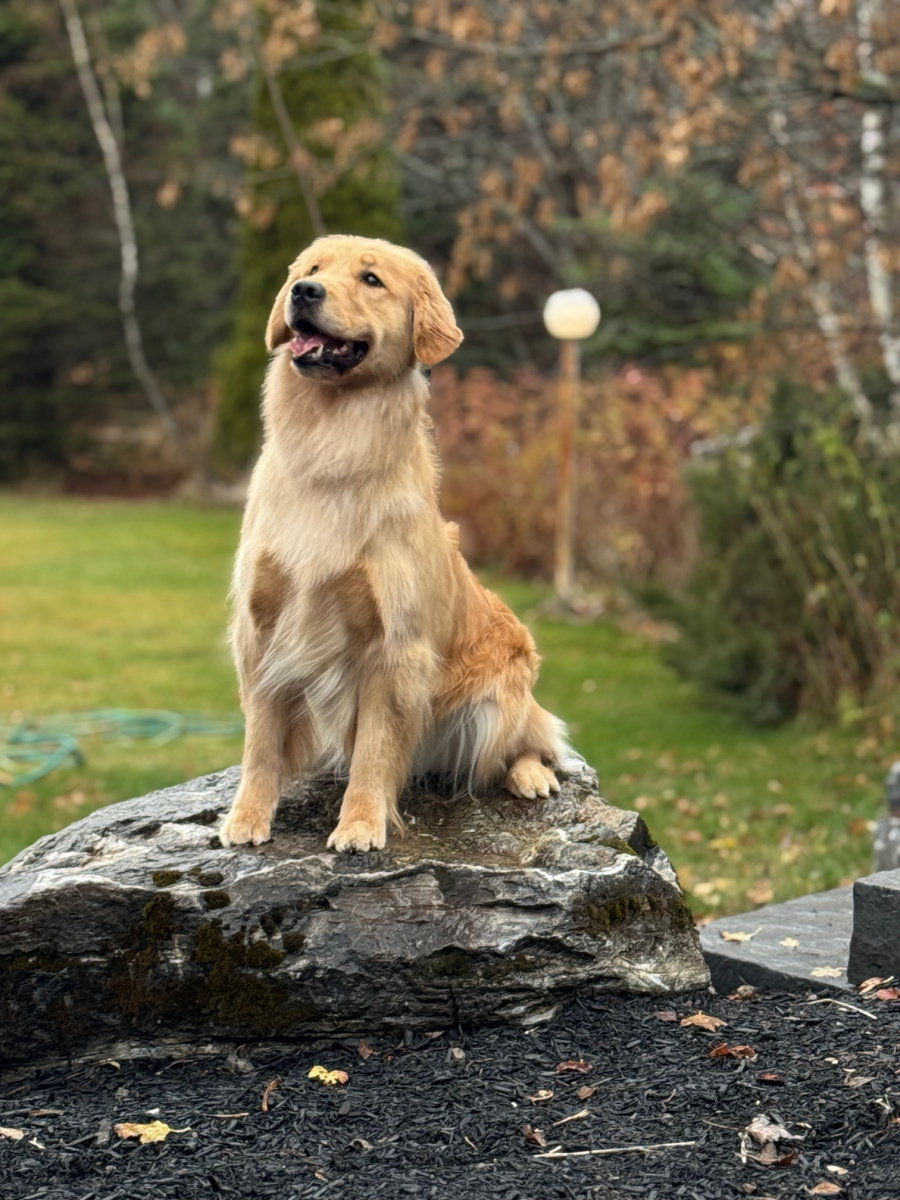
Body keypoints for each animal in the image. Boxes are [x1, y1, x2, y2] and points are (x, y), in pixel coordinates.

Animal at [219, 235, 567, 853]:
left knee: (528, 738)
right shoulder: (263, 629)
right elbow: (260, 740)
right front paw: (248, 816)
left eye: (371, 279)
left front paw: (360, 823)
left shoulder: (392, 646)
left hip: (499, 698)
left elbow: (374, 749)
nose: (304, 292)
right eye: (312, 269)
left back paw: (531, 774)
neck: (332, 445)